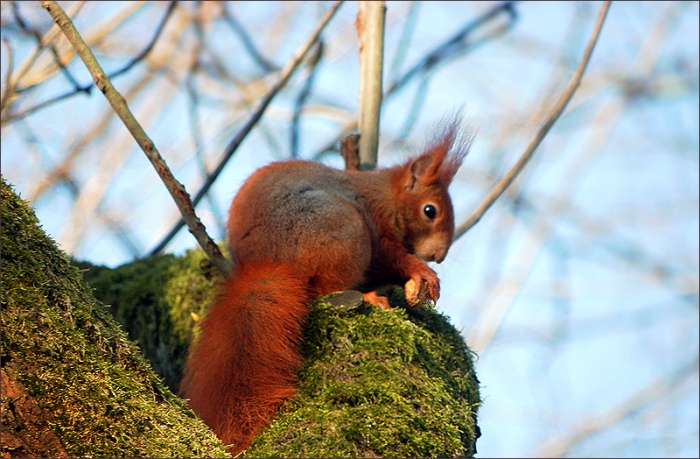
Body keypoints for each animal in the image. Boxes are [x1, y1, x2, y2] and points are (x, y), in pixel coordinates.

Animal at [179, 122, 469, 454]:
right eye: (430, 211)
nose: (440, 255)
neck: (387, 196)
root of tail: (274, 263)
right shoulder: (377, 226)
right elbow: (392, 257)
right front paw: (422, 273)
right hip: (346, 231)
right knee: (325, 289)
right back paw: (369, 297)